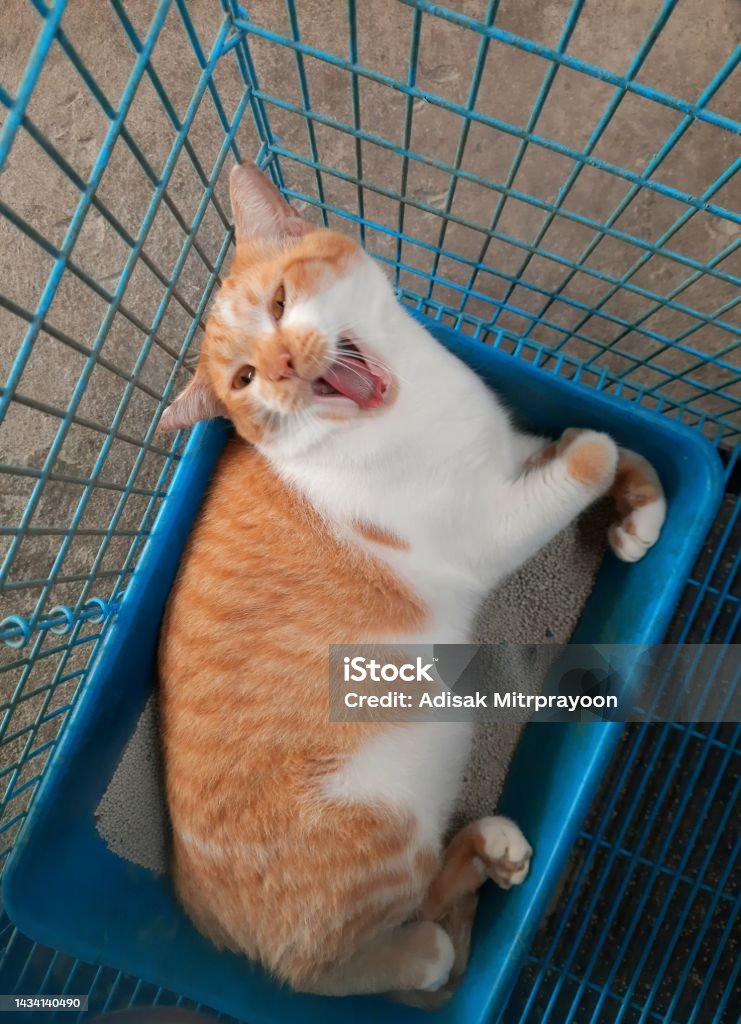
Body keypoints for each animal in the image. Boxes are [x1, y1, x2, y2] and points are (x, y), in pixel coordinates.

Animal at [156, 163, 667, 995]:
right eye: (245, 378)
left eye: (279, 303)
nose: (284, 368)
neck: (409, 410)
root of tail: (219, 936)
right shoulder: (486, 527)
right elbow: (591, 451)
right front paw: (599, 459)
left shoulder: (509, 450)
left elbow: (613, 453)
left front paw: (638, 515)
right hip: (396, 801)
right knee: (375, 951)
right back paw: (459, 897)